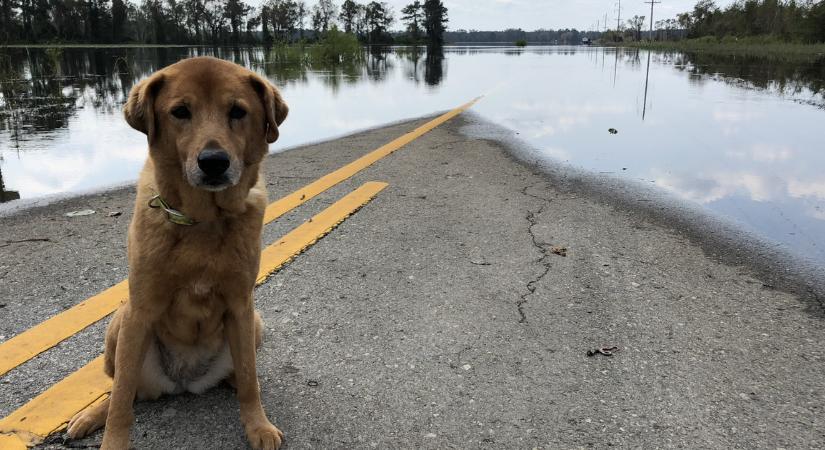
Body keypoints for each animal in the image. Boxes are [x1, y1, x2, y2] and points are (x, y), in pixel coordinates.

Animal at [62, 57, 286, 450]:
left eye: (238, 111)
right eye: (180, 112)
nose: (214, 161)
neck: (202, 220)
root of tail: (183, 382)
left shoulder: (242, 306)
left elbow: (249, 378)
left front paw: (257, 425)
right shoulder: (140, 310)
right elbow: (121, 398)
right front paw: (113, 441)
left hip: (255, 324)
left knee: (240, 373)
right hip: (120, 324)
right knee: (123, 389)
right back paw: (90, 416)